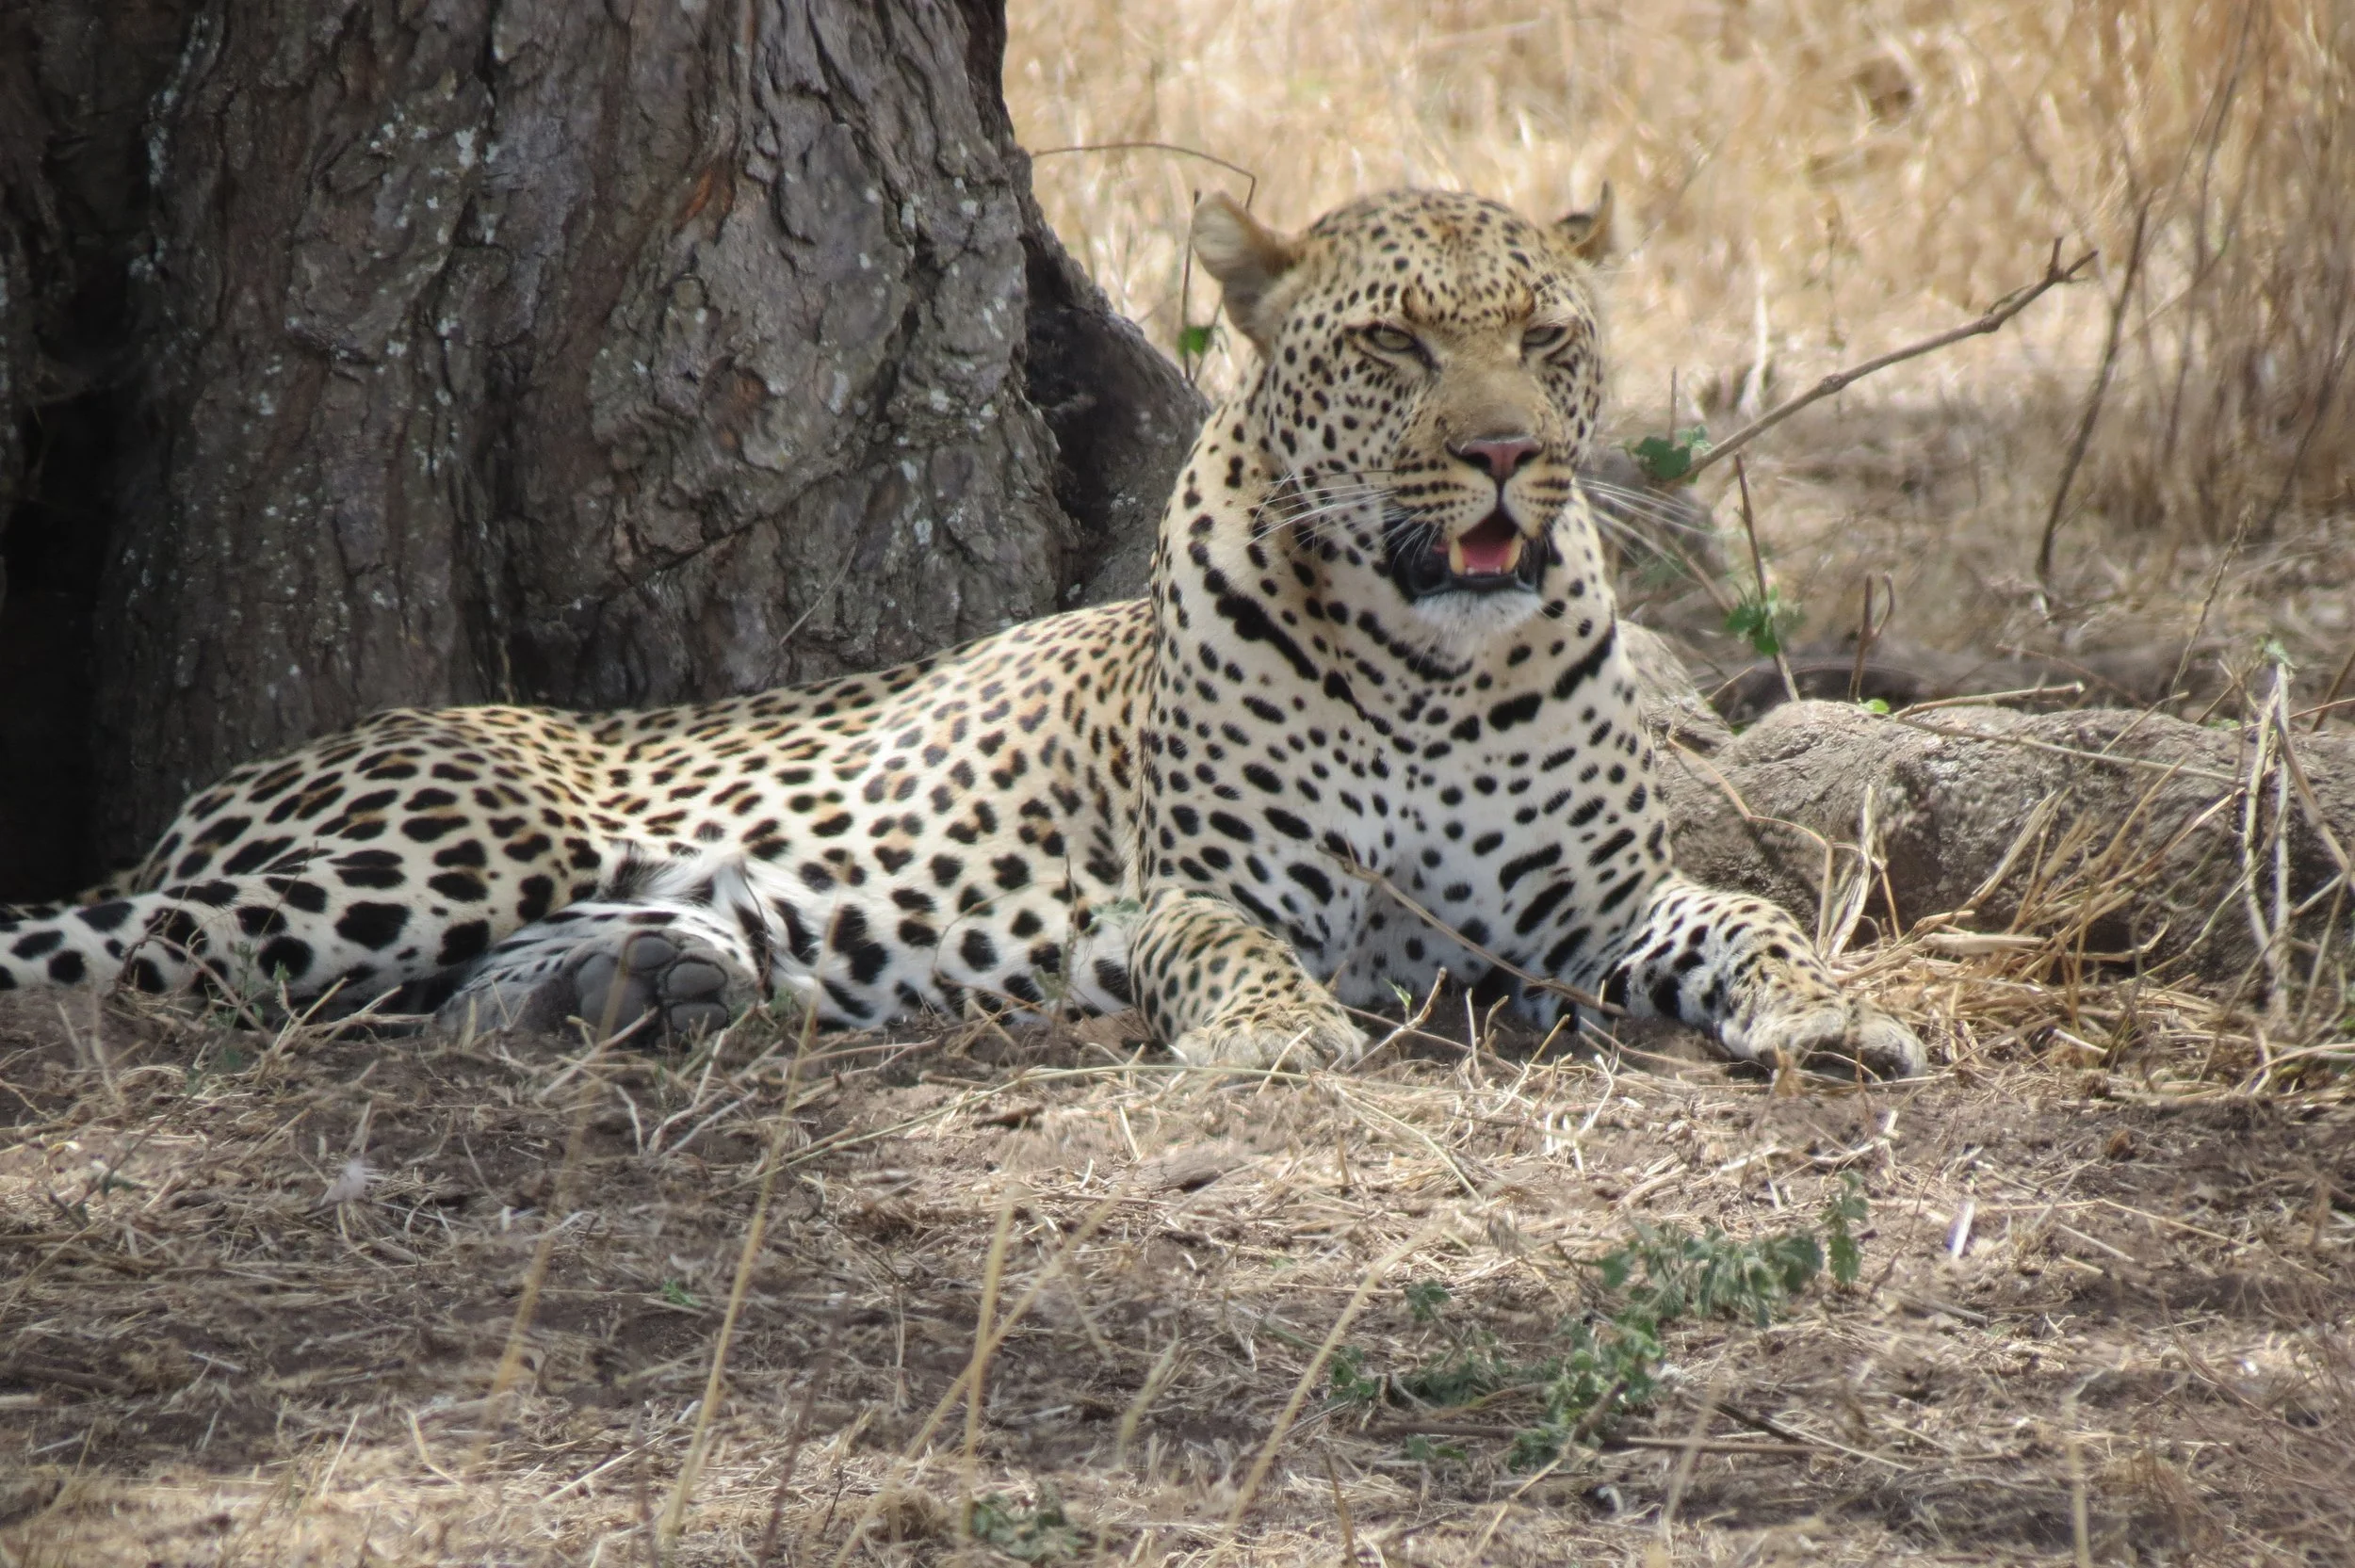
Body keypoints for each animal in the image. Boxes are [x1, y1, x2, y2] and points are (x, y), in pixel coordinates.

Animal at [0, 187, 1923, 1079]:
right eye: (1395, 347)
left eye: (1546, 335)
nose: (1513, 452)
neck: (1430, 679)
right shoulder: (1174, 891)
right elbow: (1232, 942)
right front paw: (1279, 1034)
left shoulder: (1587, 909)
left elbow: (1747, 914)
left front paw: (1838, 1011)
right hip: (439, 845)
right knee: (112, 947)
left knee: (454, 998)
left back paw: (628, 988)